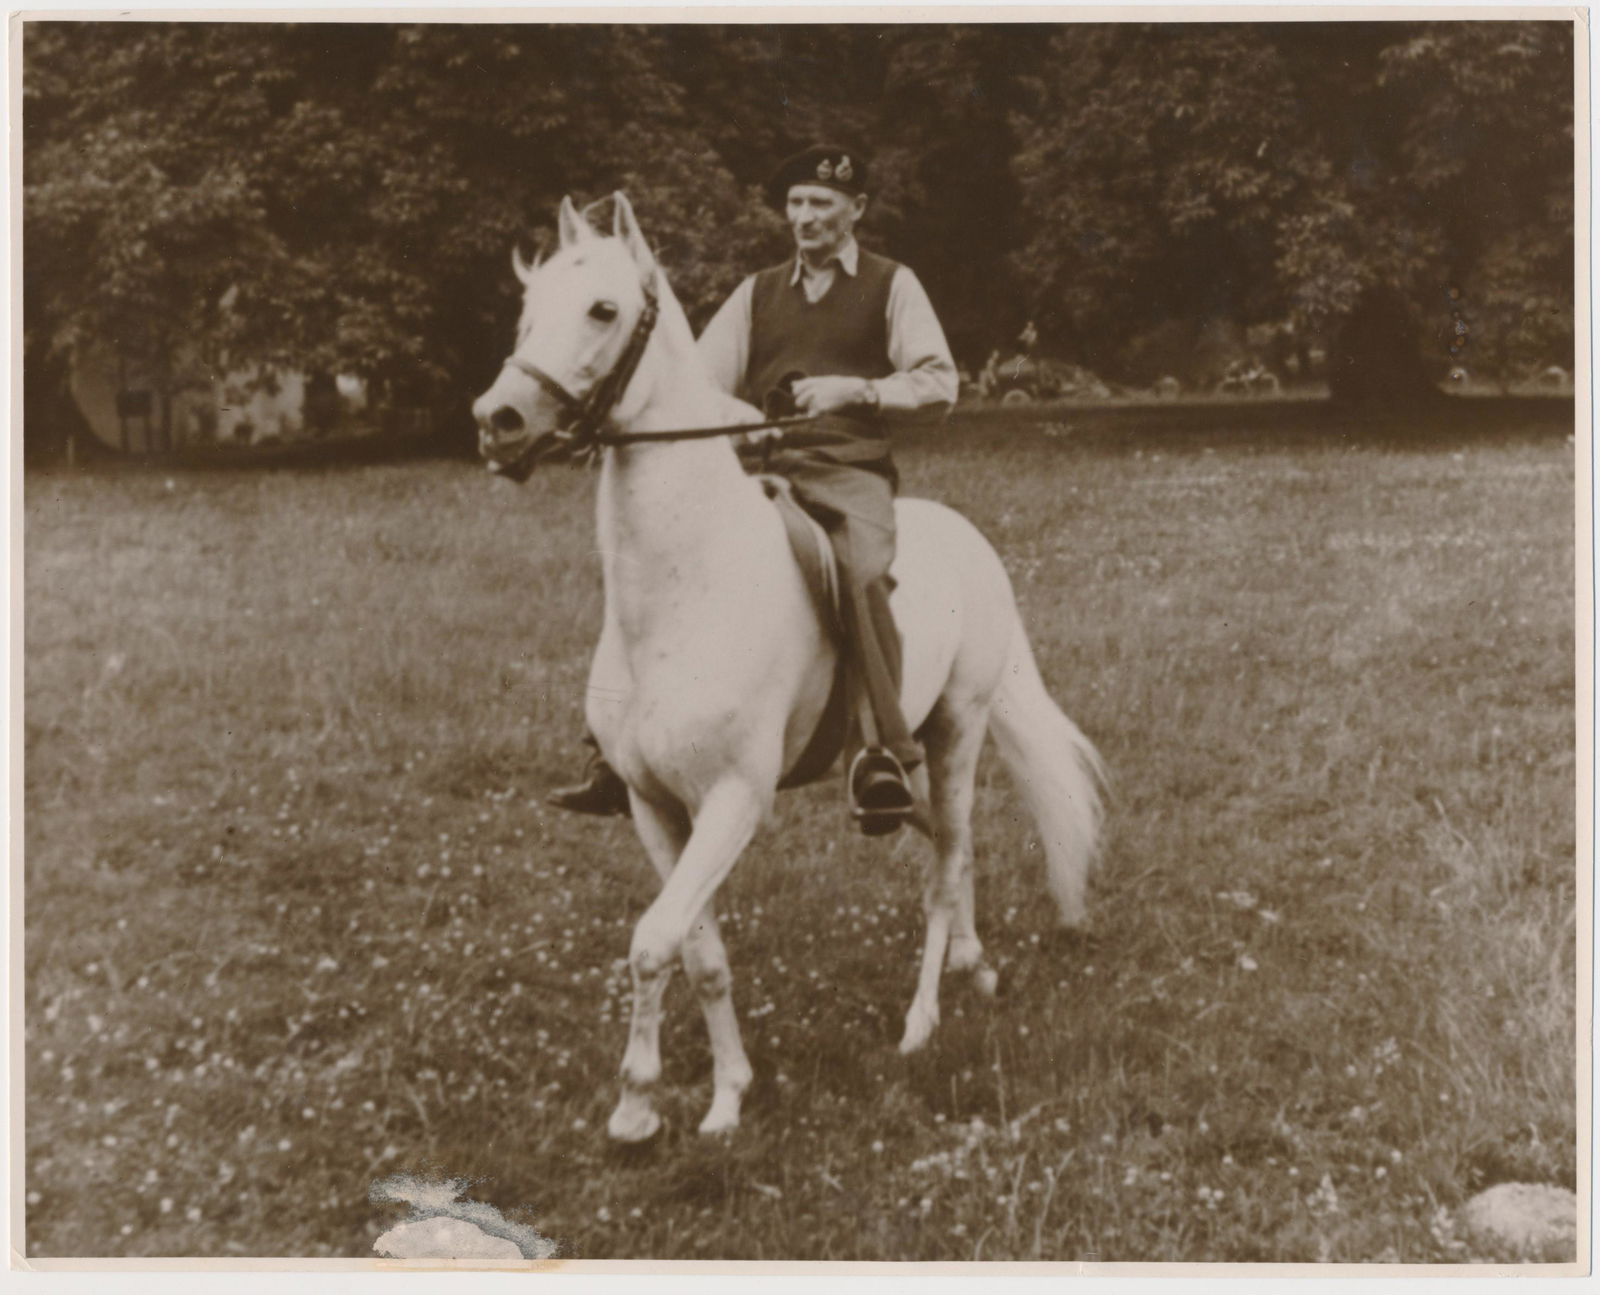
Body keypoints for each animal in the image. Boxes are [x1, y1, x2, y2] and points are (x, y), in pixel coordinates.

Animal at [472, 193, 1104, 1142]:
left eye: (604, 310)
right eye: (526, 310)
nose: (498, 419)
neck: (681, 591)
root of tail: (972, 541)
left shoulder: (735, 798)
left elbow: (652, 940)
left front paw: (637, 1104)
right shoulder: (655, 807)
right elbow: (699, 948)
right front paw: (724, 1090)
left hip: (960, 730)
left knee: (947, 863)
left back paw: (923, 1018)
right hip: (916, 744)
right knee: (946, 854)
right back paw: (974, 964)